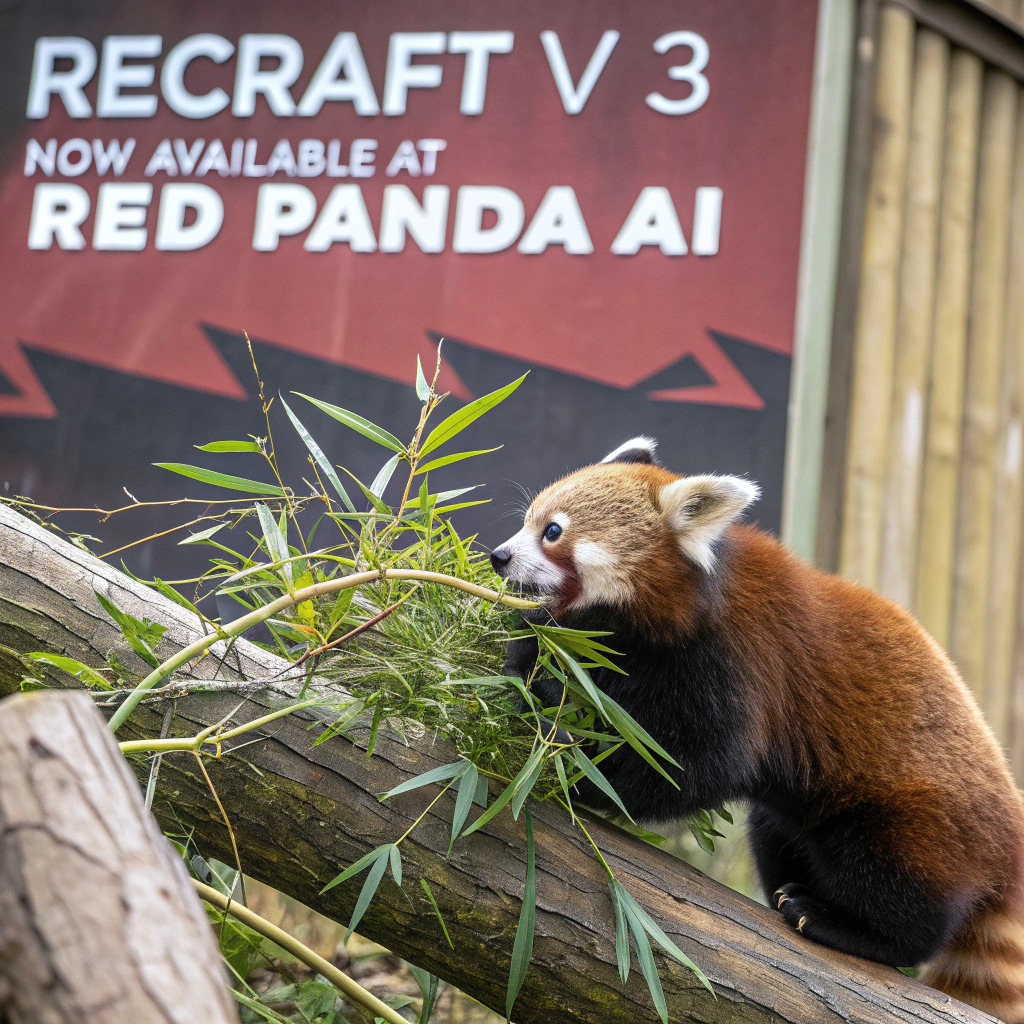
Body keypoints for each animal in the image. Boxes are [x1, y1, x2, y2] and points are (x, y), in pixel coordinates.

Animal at [490, 437, 1024, 1022]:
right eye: (527, 521)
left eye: (553, 531)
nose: (498, 556)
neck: (681, 602)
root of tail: (1009, 844)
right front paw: (524, 671)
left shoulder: (736, 659)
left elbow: (693, 767)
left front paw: (570, 762)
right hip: (793, 819)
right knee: (776, 829)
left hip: (919, 820)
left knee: (900, 889)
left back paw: (838, 922)